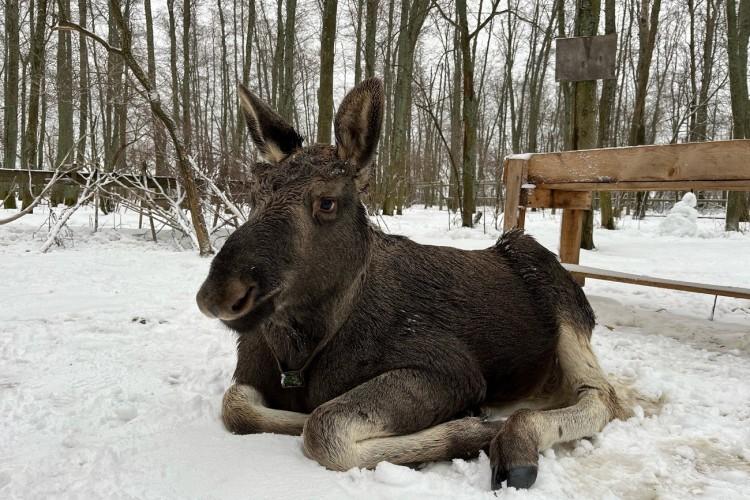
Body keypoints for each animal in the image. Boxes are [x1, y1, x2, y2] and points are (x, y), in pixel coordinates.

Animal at [197, 77, 632, 488]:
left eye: (327, 201)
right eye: (255, 191)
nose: (219, 292)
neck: (304, 347)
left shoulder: (452, 370)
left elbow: (322, 425)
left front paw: (469, 430)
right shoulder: (248, 376)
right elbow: (238, 408)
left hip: (560, 305)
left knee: (602, 397)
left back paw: (515, 440)